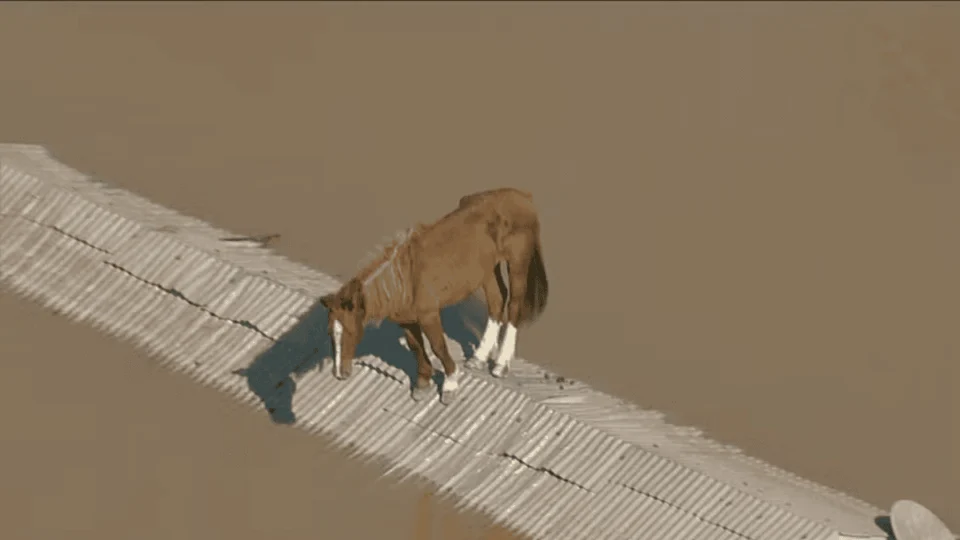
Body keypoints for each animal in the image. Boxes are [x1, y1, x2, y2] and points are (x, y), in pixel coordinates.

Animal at [319, 187, 549, 405]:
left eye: (349, 331)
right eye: (330, 332)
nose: (339, 374)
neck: (405, 280)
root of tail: (523, 196)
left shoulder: (429, 315)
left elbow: (438, 347)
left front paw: (450, 386)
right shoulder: (407, 320)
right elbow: (416, 348)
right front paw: (422, 385)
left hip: (517, 263)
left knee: (514, 306)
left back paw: (500, 365)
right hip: (488, 270)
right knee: (497, 301)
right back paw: (479, 358)